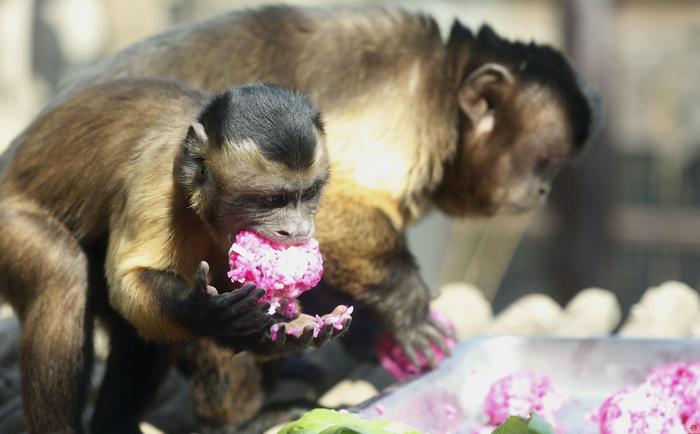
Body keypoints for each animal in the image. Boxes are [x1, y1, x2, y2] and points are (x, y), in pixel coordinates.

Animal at [0, 79, 350, 434]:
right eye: (272, 200)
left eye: (308, 194)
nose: (297, 230)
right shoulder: (156, 176)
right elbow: (131, 281)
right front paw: (203, 311)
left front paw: (280, 330)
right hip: (8, 228)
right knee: (63, 269)